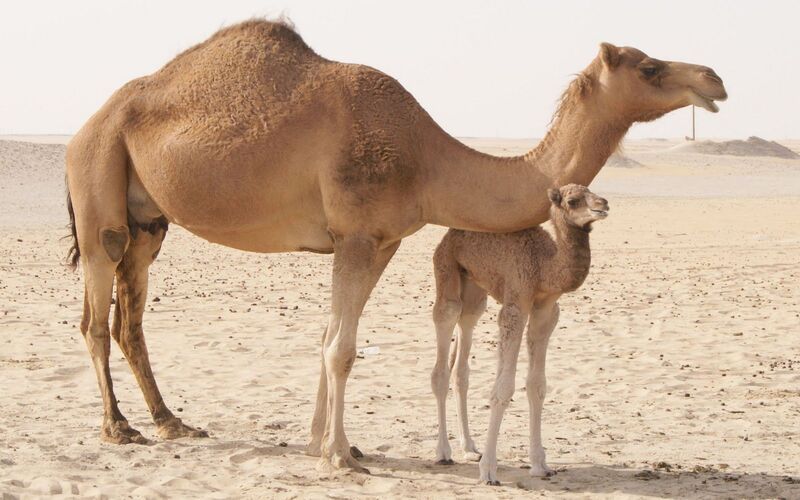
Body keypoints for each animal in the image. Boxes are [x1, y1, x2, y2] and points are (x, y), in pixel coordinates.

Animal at [431, 184, 608, 484]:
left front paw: (540, 464)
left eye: (593, 192)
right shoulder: (516, 303)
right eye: (573, 201)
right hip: (446, 268)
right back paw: (444, 452)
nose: (603, 205)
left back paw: (469, 447)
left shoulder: (546, 311)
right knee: (445, 336)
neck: (544, 267)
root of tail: (449, 235)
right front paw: (489, 471)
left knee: (463, 349)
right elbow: (503, 389)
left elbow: (537, 386)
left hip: (474, 288)